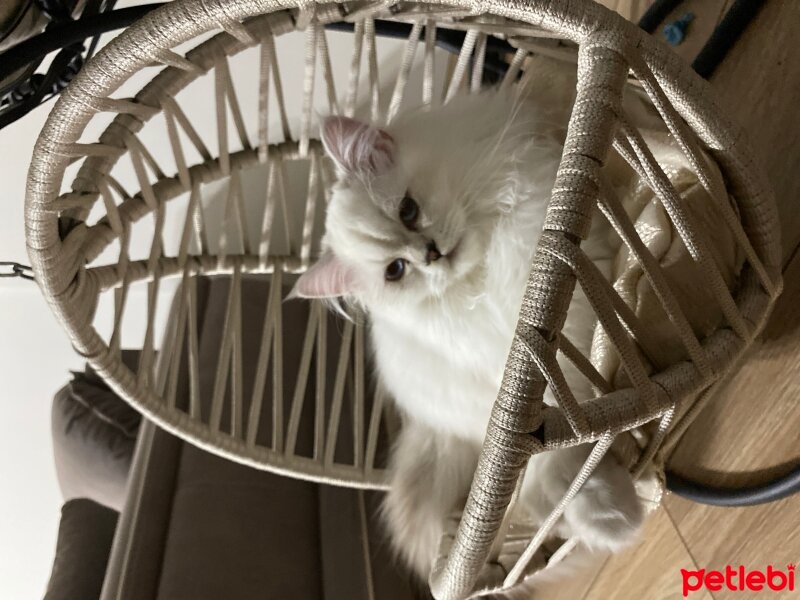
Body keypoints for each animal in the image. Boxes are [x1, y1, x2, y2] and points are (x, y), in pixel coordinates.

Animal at [292, 86, 644, 584]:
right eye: (395, 271)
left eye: (408, 210)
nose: (431, 255)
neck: (488, 271)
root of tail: (430, 424)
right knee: (542, 482)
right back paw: (617, 521)